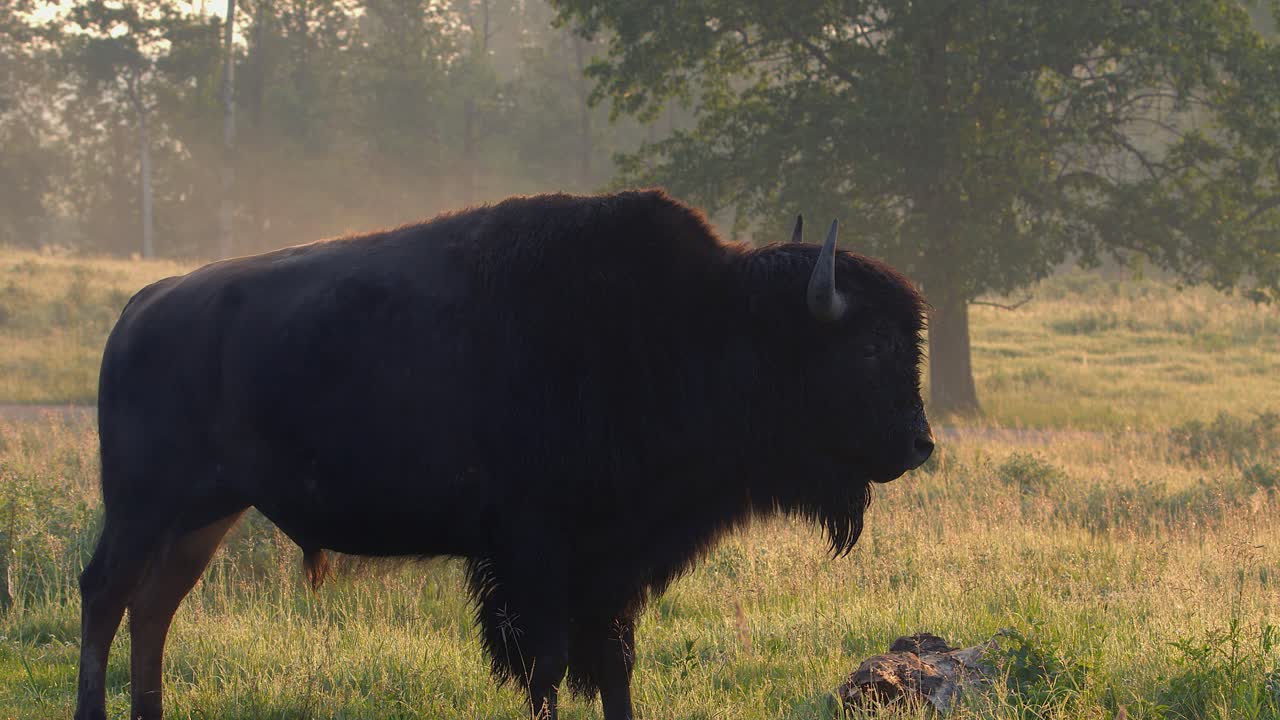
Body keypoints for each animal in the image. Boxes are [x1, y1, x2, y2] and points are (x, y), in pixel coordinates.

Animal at [74, 190, 933, 720]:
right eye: (870, 347)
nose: (920, 443)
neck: (700, 324)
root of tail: (142, 309)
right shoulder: (534, 556)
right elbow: (545, 665)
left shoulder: (612, 566)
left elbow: (613, 662)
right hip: (144, 506)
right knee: (106, 593)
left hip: (204, 516)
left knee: (154, 606)